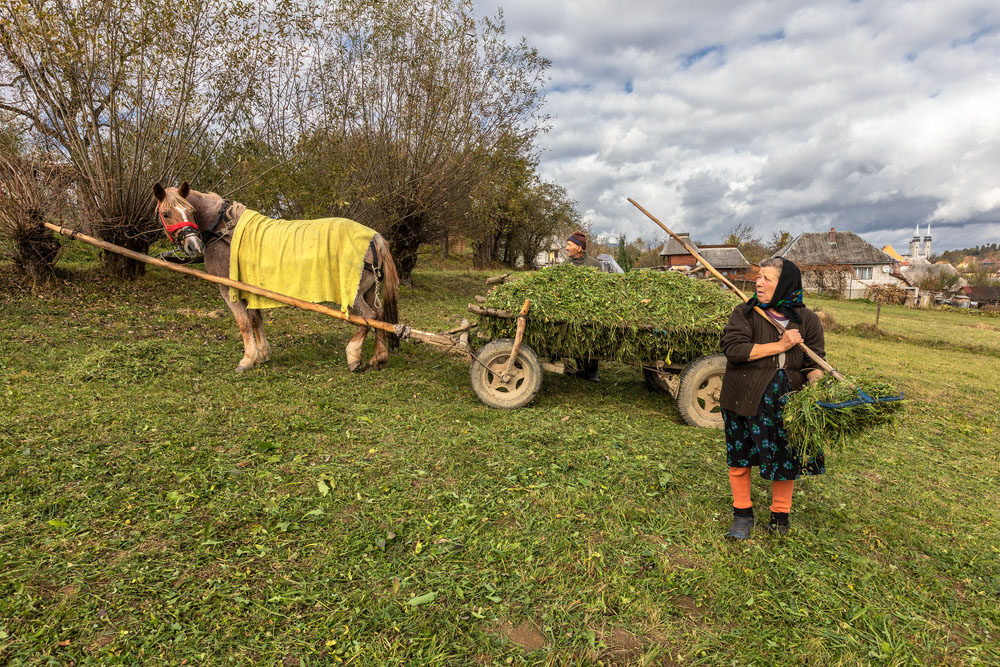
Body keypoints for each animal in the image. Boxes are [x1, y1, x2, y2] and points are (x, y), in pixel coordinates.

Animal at [152, 182, 399, 372]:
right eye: (166, 214)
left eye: (192, 212)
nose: (194, 246)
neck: (223, 230)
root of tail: (374, 236)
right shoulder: (250, 289)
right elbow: (255, 319)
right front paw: (262, 355)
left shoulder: (229, 289)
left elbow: (244, 323)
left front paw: (247, 360)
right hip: (368, 291)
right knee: (379, 316)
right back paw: (378, 358)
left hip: (353, 293)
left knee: (368, 317)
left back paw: (353, 355)